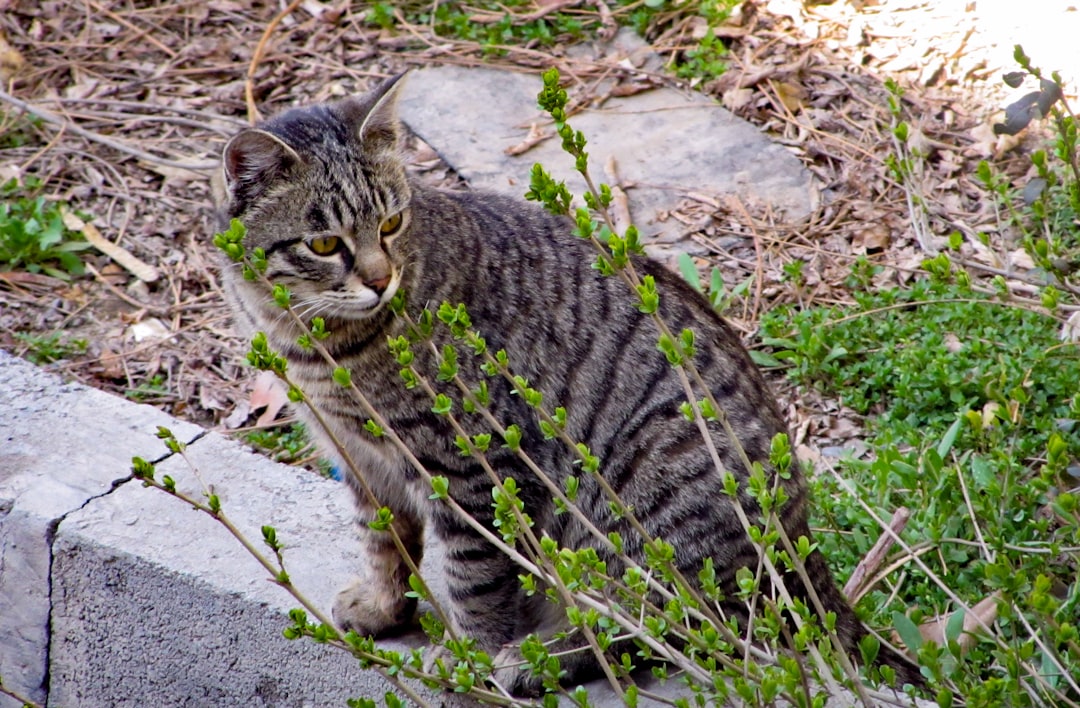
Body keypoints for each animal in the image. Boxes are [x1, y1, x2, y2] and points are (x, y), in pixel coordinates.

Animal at [214, 74, 924, 695]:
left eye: (391, 225)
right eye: (325, 243)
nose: (379, 279)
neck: (314, 343)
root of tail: (806, 556)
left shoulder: (474, 469)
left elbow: (473, 579)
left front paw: (470, 658)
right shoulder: (361, 459)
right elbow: (385, 542)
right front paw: (386, 608)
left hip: (637, 521)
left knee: (665, 630)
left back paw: (538, 659)